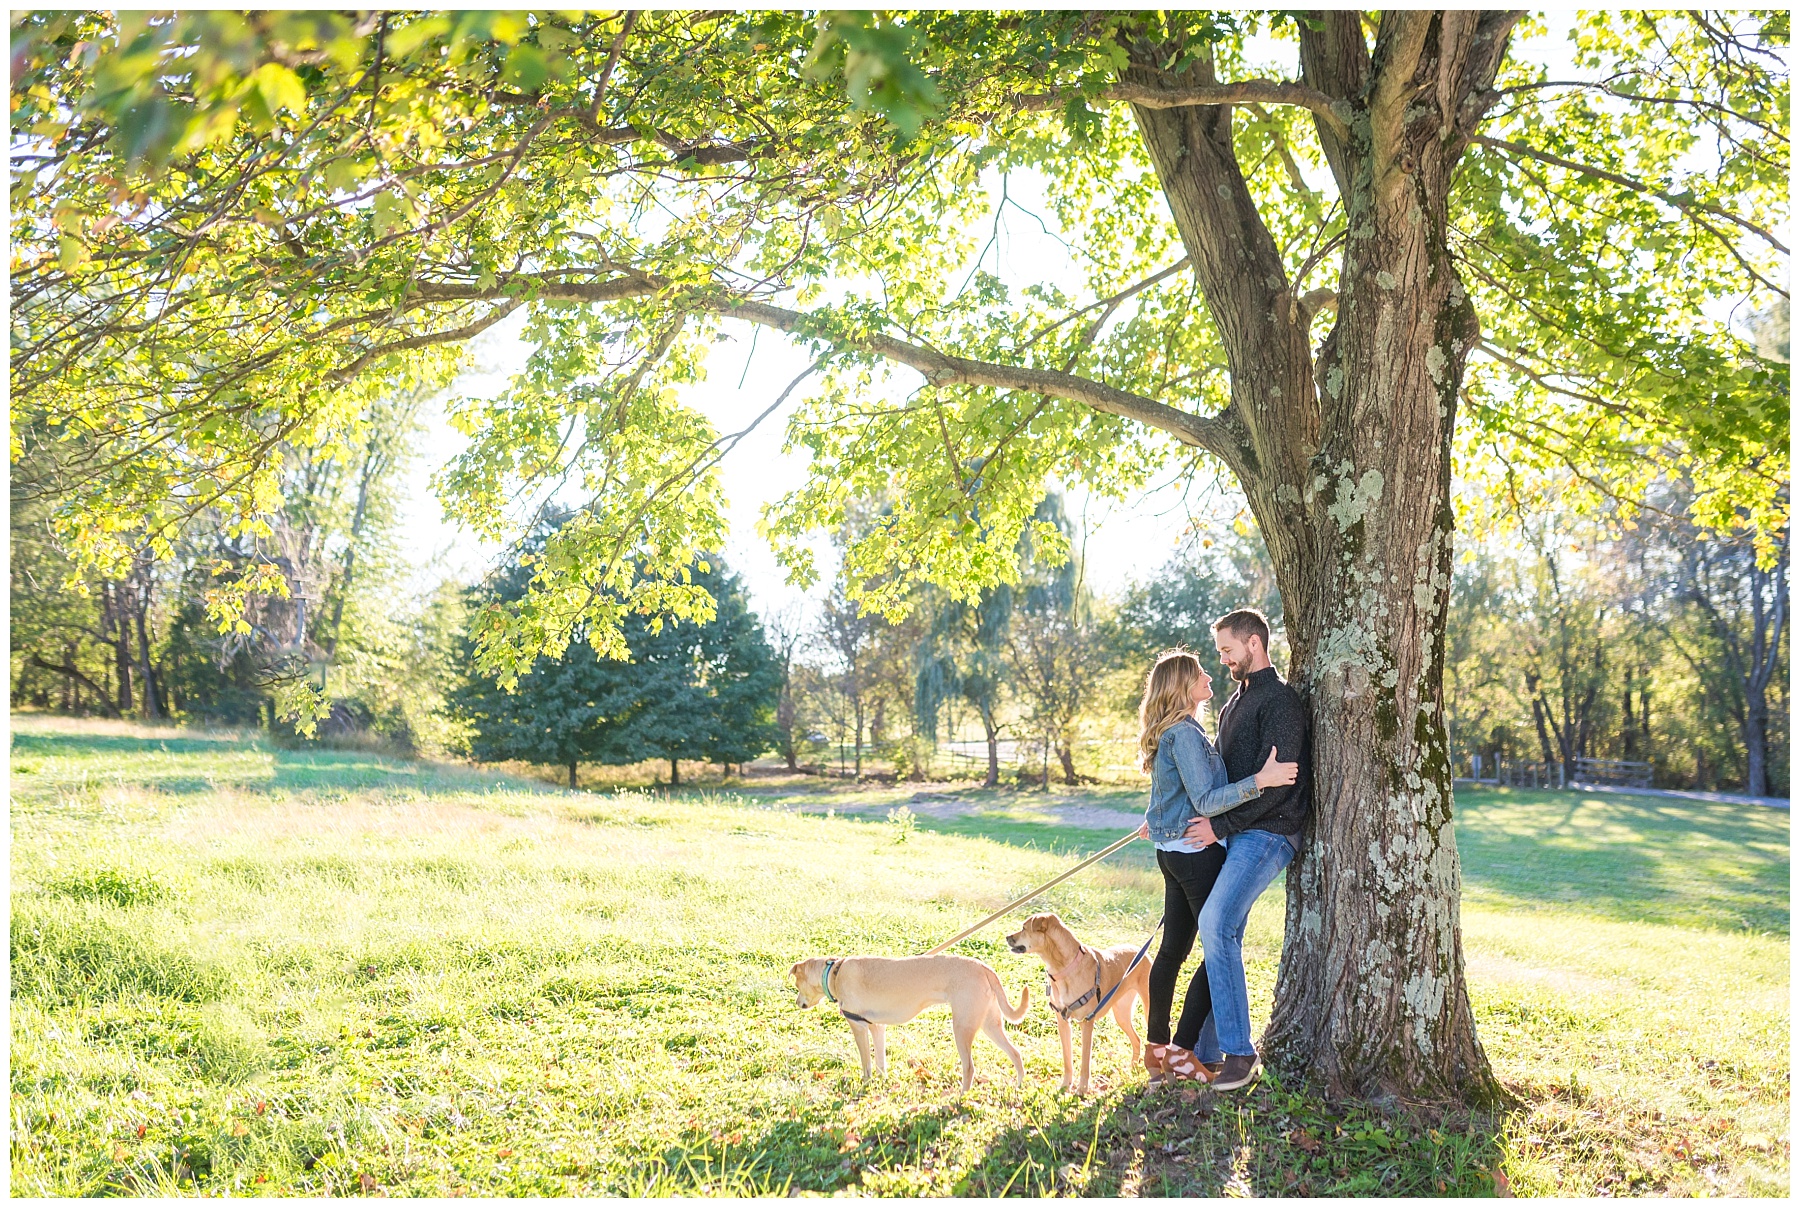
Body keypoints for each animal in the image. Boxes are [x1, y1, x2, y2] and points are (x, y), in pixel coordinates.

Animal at [788, 957, 1029, 1094]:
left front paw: (865, 1085)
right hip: (990, 1025)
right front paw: (882, 1082)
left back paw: (962, 1097)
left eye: (796, 984)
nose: (797, 1003)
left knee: (969, 1068)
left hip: (961, 1028)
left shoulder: (858, 1027)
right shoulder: (877, 1027)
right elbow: (880, 1062)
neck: (834, 973)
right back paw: (1018, 1086)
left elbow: (866, 1064)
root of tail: (983, 967)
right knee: (1016, 1053)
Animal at [1008, 918, 1144, 1094]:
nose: (1007, 937)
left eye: (1024, 928)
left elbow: (1085, 1062)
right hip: (1122, 1015)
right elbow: (1067, 1058)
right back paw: (1132, 1069)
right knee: (1137, 1039)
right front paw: (1065, 1085)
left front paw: (1082, 1089)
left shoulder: (1086, 1022)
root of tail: (1139, 949)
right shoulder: (1062, 1021)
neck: (1063, 968)